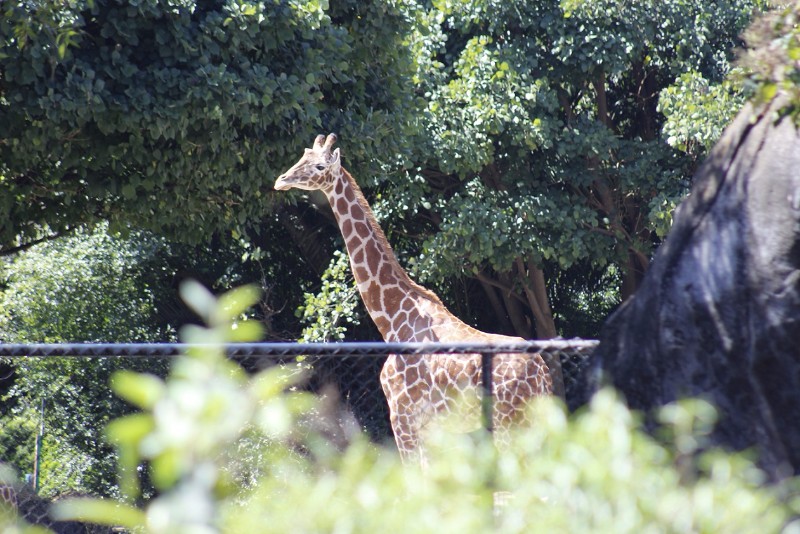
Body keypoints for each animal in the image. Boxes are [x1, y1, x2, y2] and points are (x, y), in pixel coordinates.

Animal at [275, 134, 554, 465]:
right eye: (302, 155)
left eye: (319, 165)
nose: (281, 180)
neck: (391, 319)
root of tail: (542, 375)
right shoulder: (430, 427)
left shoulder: (402, 416)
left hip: (510, 424)